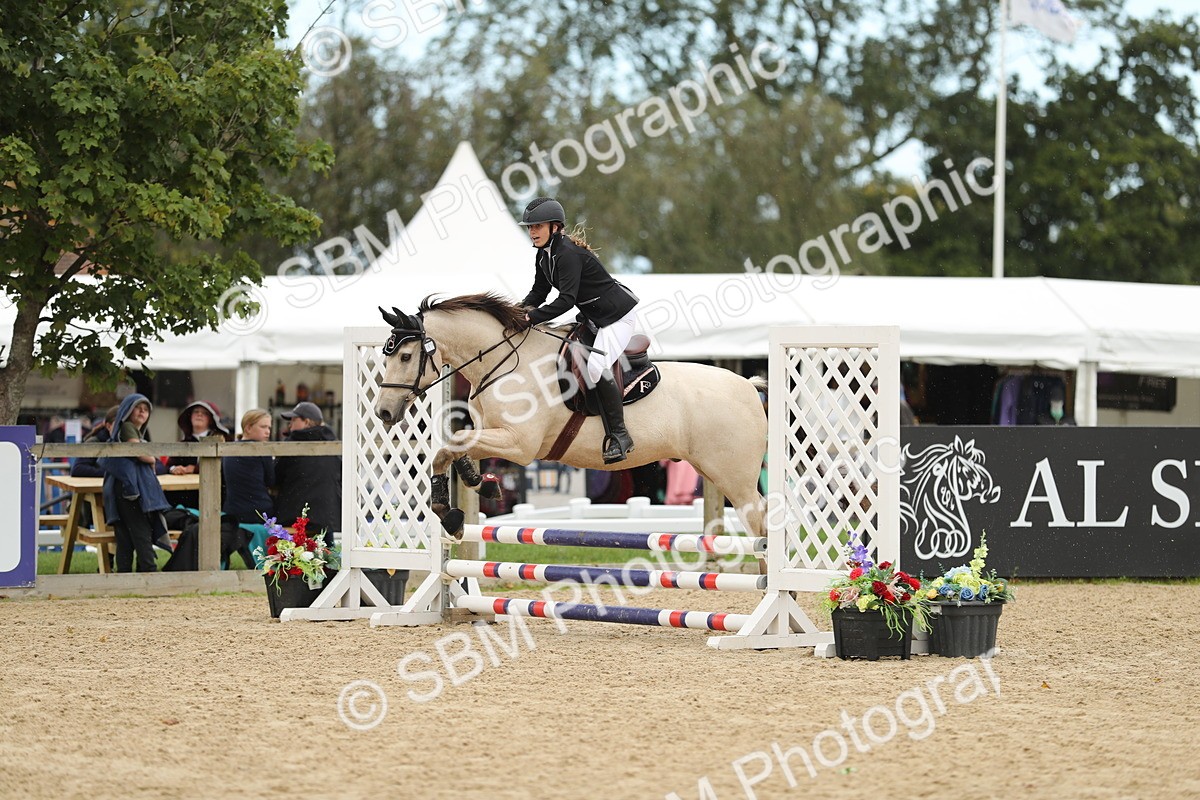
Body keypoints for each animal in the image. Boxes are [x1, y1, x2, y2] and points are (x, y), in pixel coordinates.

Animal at [374, 292, 768, 539]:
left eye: (406, 356)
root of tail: (750, 388)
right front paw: (473, 491)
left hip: (735, 477)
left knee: (760, 521)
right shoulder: (492, 433)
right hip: (709, 468)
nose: (382, 411)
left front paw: (453, 510)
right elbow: (454, 450)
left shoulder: (520, 445)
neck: (504, 362)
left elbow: (450, 445)